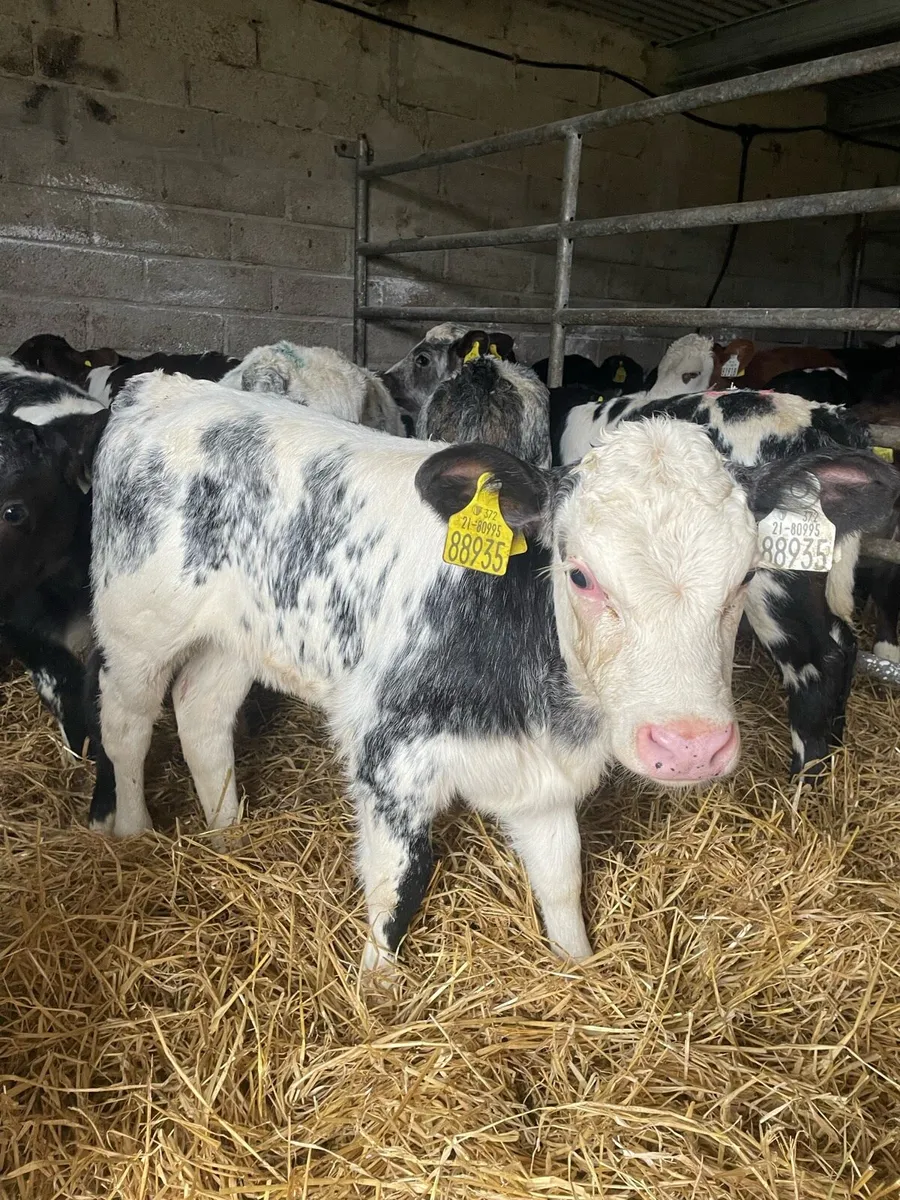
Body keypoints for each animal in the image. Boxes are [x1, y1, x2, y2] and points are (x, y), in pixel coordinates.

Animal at [88, 371, 895, 970]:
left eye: (744, 575)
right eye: (579, 573)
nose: (690, 746)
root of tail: (162, 386)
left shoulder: (543, 779)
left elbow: (562, 881)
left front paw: (579, 970)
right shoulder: (388, 759)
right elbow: (398, 888)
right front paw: (378, 995)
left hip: (236, 638)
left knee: (202, 713)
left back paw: (227, 831)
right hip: (134, 628)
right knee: (127, 726)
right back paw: (130, 831)